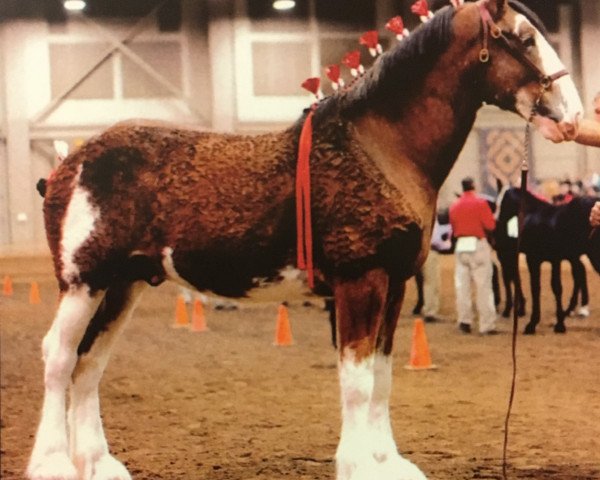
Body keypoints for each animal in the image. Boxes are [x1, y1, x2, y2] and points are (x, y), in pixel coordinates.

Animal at [27, 0, 580, 480]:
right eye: (524, 39)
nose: (572, 115)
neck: (381, 148)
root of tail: (67, 165)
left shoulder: (395, 285)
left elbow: (382, 376)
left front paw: (388, 462)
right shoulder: (360, 282)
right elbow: (357, 381)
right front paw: (358, 467)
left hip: (125, 285)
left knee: (90, 364)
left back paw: (99, 464)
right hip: (84, 282)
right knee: (59, 358)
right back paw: (53, 464)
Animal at [494, 188, 596, 334]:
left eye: (502, 205)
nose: (497, 239)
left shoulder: (538, 259)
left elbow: (548, 287)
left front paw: (536, 323)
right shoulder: (547, 259)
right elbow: (544, 287)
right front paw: (557, 322)